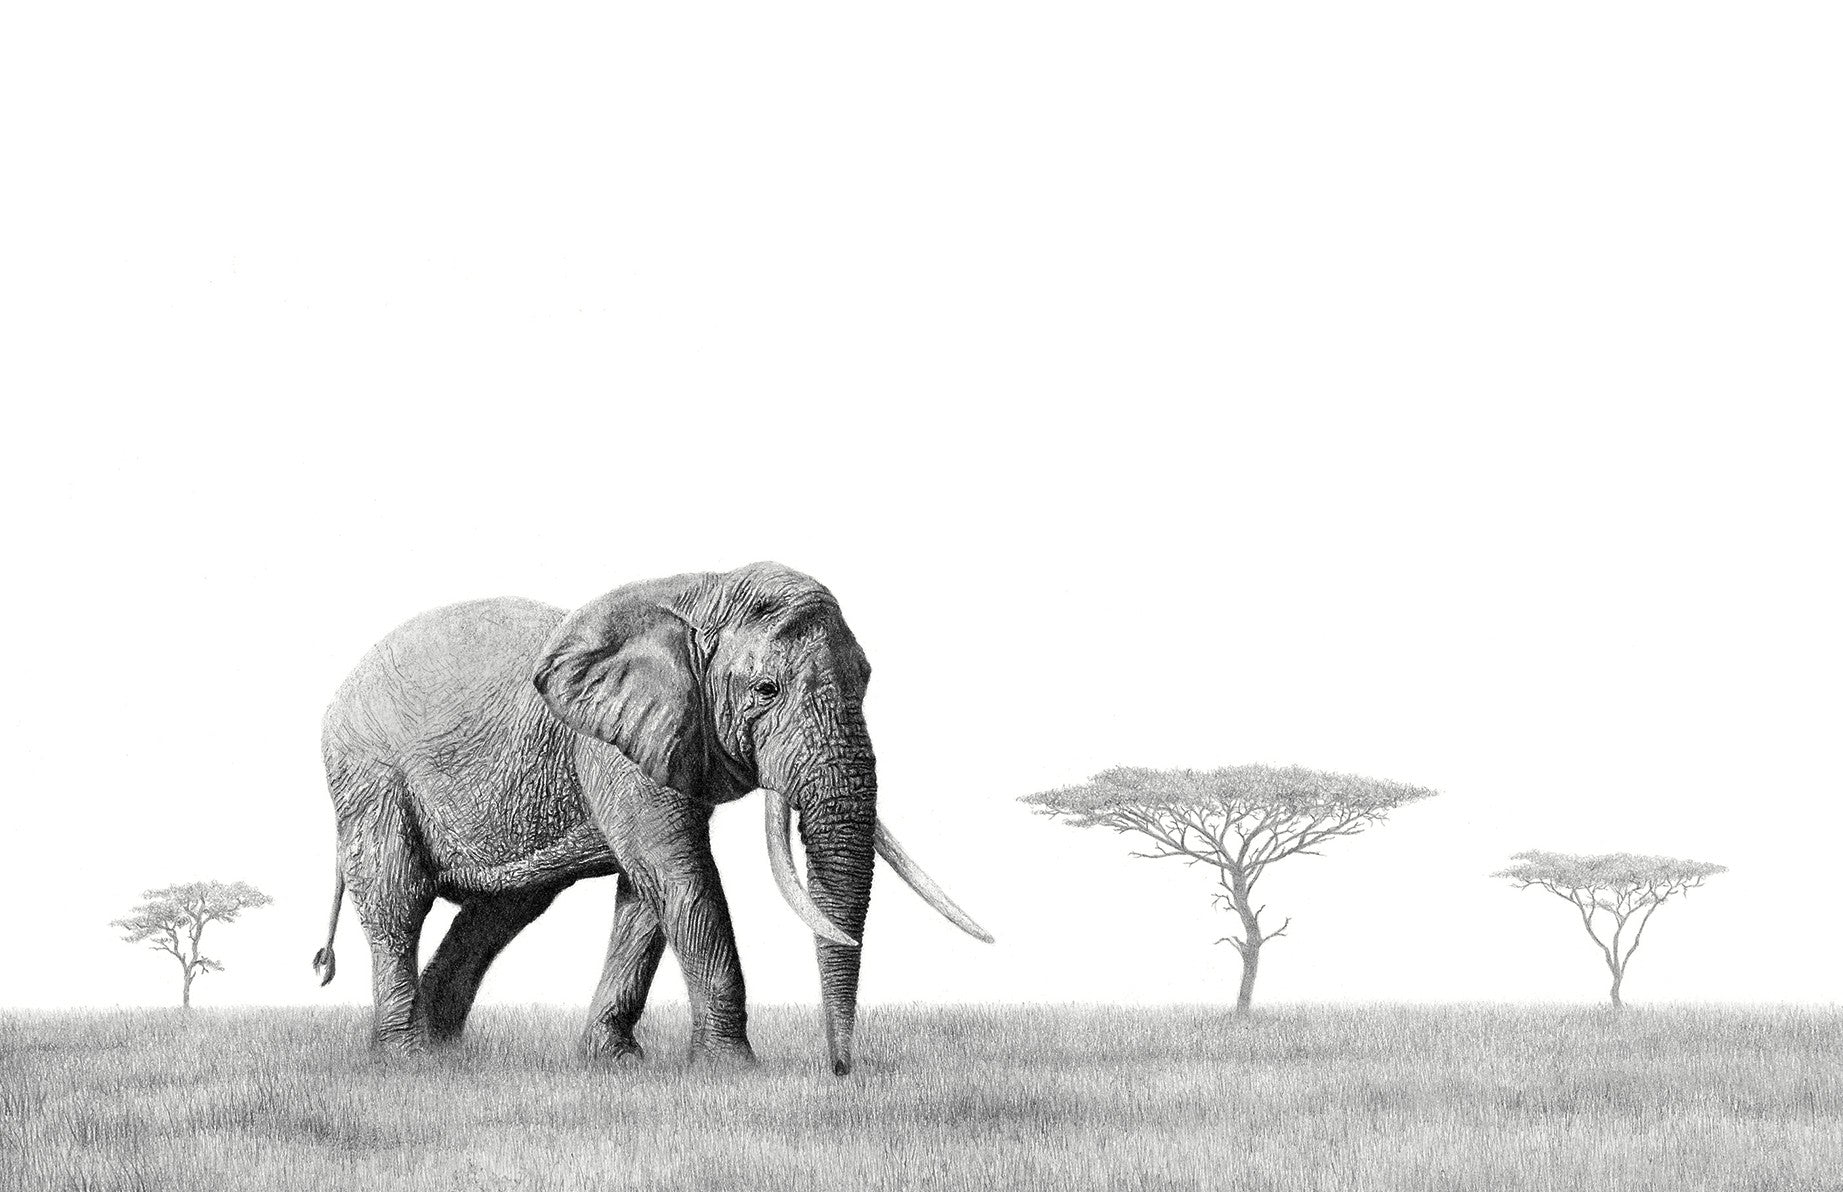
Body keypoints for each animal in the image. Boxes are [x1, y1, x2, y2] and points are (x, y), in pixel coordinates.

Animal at [310, 562, 989, 1074]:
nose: (840, 1070)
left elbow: (647, 894)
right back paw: (405, 1061)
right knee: (399, 900)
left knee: (501, 911)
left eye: (867, 680)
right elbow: (680, 874)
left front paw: (614, 1065)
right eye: (765, 689)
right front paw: (733, 1072)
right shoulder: (613, 747)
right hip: (368, 774)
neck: (703, 588)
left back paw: (447, 1056)